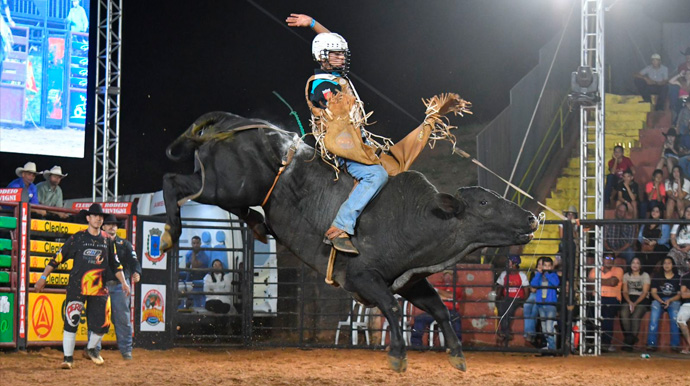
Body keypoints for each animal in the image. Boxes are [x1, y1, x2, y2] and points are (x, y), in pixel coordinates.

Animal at [161, 111, 536, 370]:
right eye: (484, 204)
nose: (532, 218)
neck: (417, 219)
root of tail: (235, 121)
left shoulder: (409, 281)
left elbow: (439, 308)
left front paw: (457, 356)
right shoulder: (362, 278)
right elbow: (391, 307)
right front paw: (398, 356)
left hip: (231, 188)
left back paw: (254, 224)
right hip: (225, 185)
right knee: (174, 182)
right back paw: (169, 234)